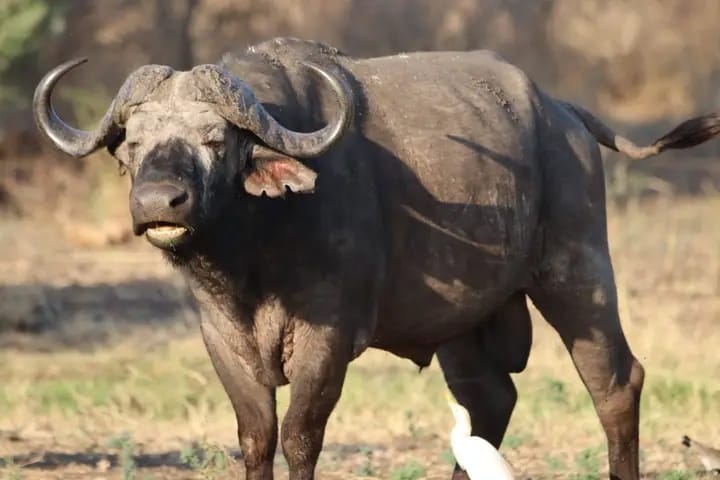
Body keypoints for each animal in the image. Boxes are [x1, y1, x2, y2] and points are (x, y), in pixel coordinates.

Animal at [33, 37, 720, 480]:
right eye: (134, 143)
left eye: (215, 139)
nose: (159, 203)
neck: (255, 258)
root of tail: (562, 113)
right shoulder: (221, 336)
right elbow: (256, 436)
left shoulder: (328, 335)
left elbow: (301, 436)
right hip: (465, 320)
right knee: (488, 400)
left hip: (577, 272)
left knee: (615, 384)